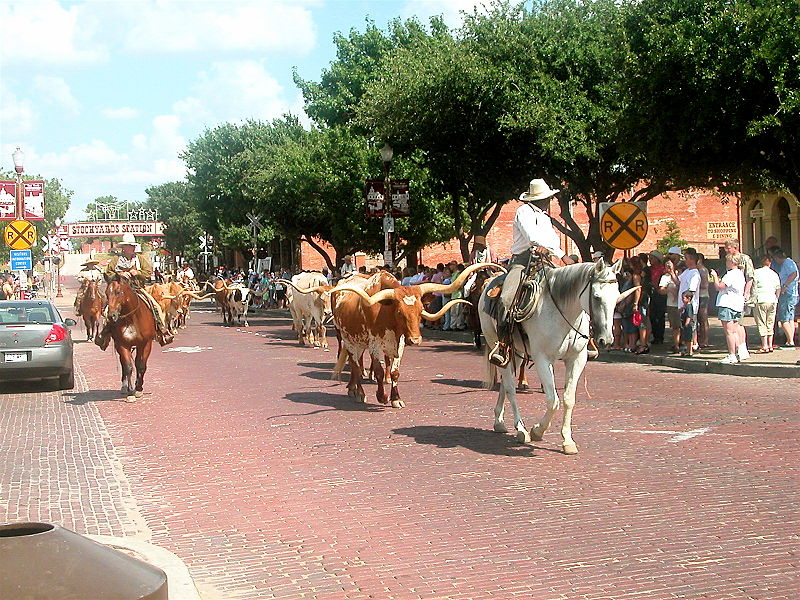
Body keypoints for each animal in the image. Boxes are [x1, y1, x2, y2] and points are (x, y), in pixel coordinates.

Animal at [482, 258, 636, 454]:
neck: (562, 313)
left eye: (616, 297)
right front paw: (537, 431)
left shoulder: (576, 359)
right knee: (510, 387)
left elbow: (568, 399)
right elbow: (553, 400)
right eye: (596, 297)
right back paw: (521, 429)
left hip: (516, 352)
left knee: (504, 385)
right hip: (497, 344)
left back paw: (499, 422)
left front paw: (568, 441)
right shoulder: (542, 358)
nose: (606, 340)